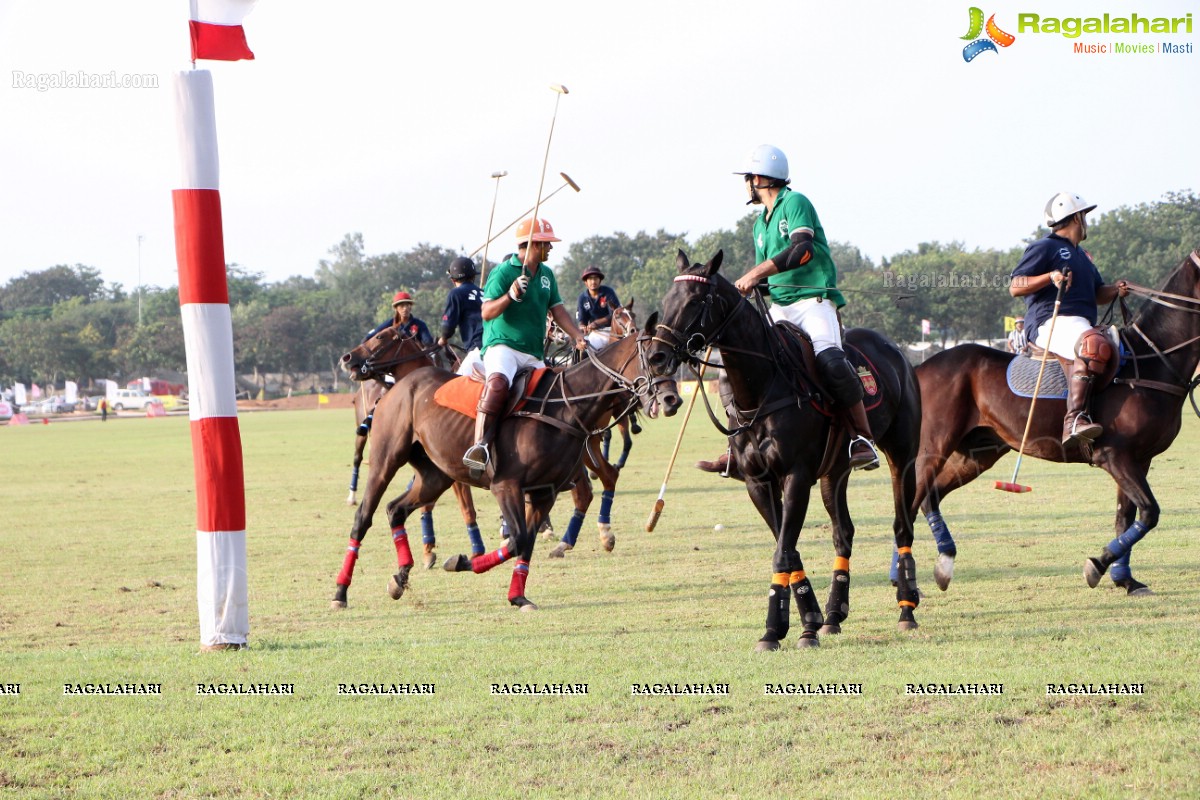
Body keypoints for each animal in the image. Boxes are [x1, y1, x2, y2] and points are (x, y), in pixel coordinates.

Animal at [333, 311, 681, 606]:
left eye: (670, 358)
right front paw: (461, 560)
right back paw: (340, 592)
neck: (565, 405)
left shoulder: (544, 492)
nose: (672, 400)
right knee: (363, 517)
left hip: (435, 475)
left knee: (395, 509)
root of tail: (398, 387)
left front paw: (516, 596)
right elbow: (515, 538)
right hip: (386, 460)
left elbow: (524, 541)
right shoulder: (506, 485)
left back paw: (399, 577)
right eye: (655, 357)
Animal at [648, 251, 916, 652]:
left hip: (903, 453)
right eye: (667, 299)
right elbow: (786, 550)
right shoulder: (759, 482)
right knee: (843, 532)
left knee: (902, 524)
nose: (656, 356)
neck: (761, 387)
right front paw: (804, 622)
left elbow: (783, 552)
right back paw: (834, 615)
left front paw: (782, 628)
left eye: (696, 301)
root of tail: (895, 349)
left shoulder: (796, 476)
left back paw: (907, 609)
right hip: (834, 472)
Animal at [912, 250, 1200, 594]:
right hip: (935, 445)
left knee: (930, 497)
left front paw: (1125, 579)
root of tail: (919, 368)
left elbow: (1127, 516)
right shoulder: (1114, 455)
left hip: (976, 454)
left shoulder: (1139, 459)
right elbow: (1149, 512)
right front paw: (1096, 566)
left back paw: (943, 565)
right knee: (911, 501)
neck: (1151, 362)